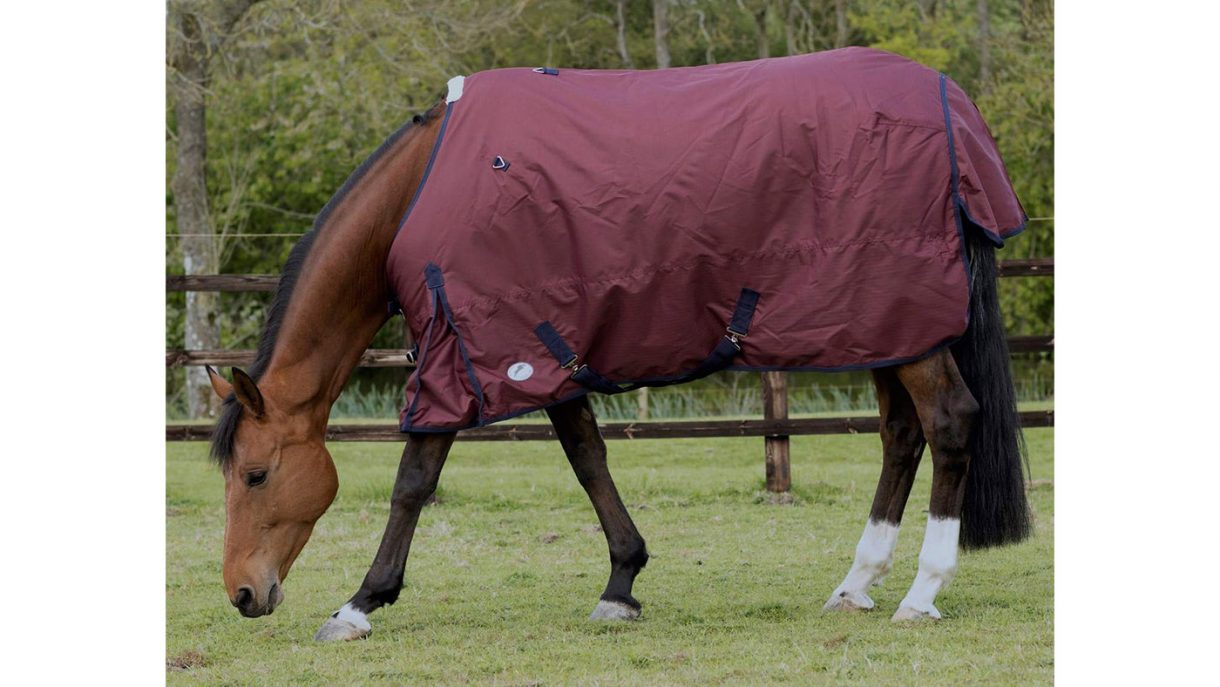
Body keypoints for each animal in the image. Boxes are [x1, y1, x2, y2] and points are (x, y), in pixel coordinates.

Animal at [205, 48, 1030, 642]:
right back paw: (856, 583)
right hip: (888, 321)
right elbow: (587, 457)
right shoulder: (543, 349)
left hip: (901, 319)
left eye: (254, 473)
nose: (243, 592)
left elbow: (415, 476)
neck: (423, 190)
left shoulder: (464, 348)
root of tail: (951, 107)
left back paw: (921, 592)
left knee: (949, 422)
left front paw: (360, 602)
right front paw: (622, 584)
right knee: (901, 435)